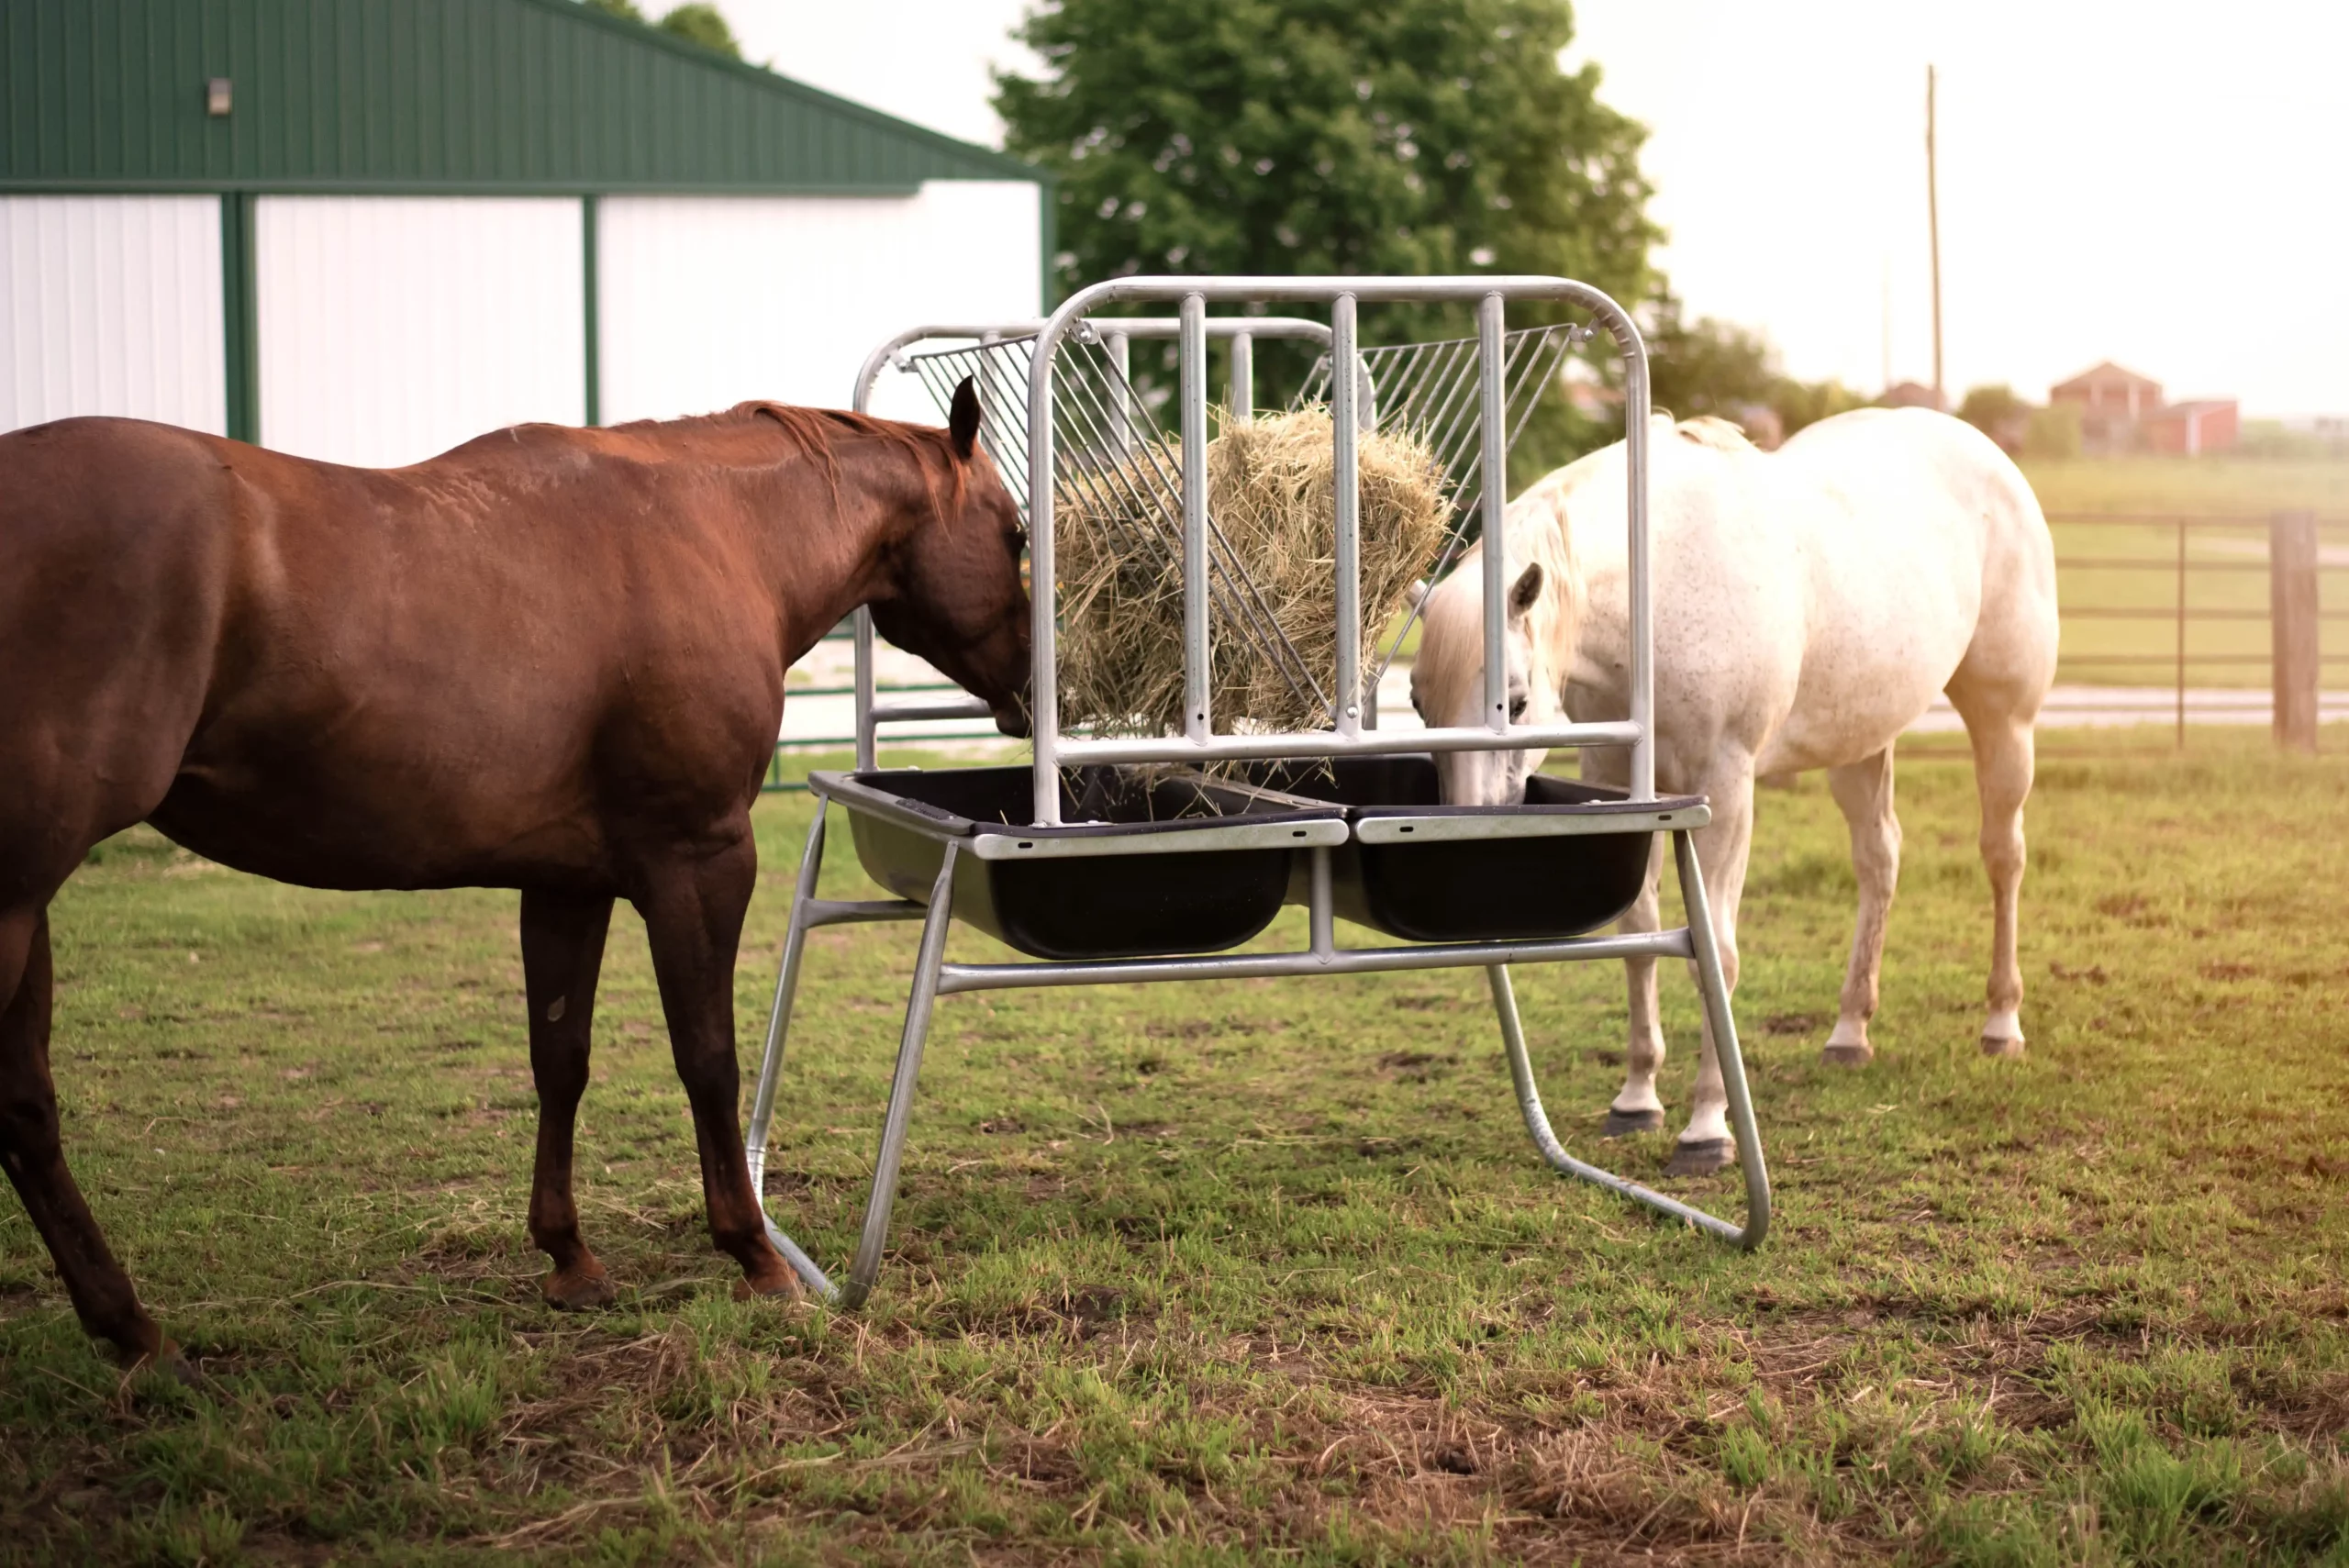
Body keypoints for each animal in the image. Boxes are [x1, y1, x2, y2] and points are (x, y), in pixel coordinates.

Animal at [0, 381, 1030, 1375]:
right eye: (1016, 534)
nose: (1028, 686)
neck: (712, 530)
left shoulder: (567, 882)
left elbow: (559, 1058)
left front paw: (569, 1257)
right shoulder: (698, 861)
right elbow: (707, 1058)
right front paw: (754, 1255)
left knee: (29, 1110)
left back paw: (135, 1332)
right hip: (17, 902)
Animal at [1409, 408, 2058, 1176]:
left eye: (1511, 701)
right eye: (1418, 704)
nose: (1462, 837)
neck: (1657, 585)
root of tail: (1984, 448)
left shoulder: (1727, 785)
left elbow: (1716, 955)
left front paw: (1707, 1129)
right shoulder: (1614, 777)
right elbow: (1637, 937)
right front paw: (1636, 1099)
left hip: (2004, 721)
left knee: (2003, 856)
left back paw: (2001, 1022)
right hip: (1860, 740)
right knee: (1880, 860)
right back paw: (1849, 1031)